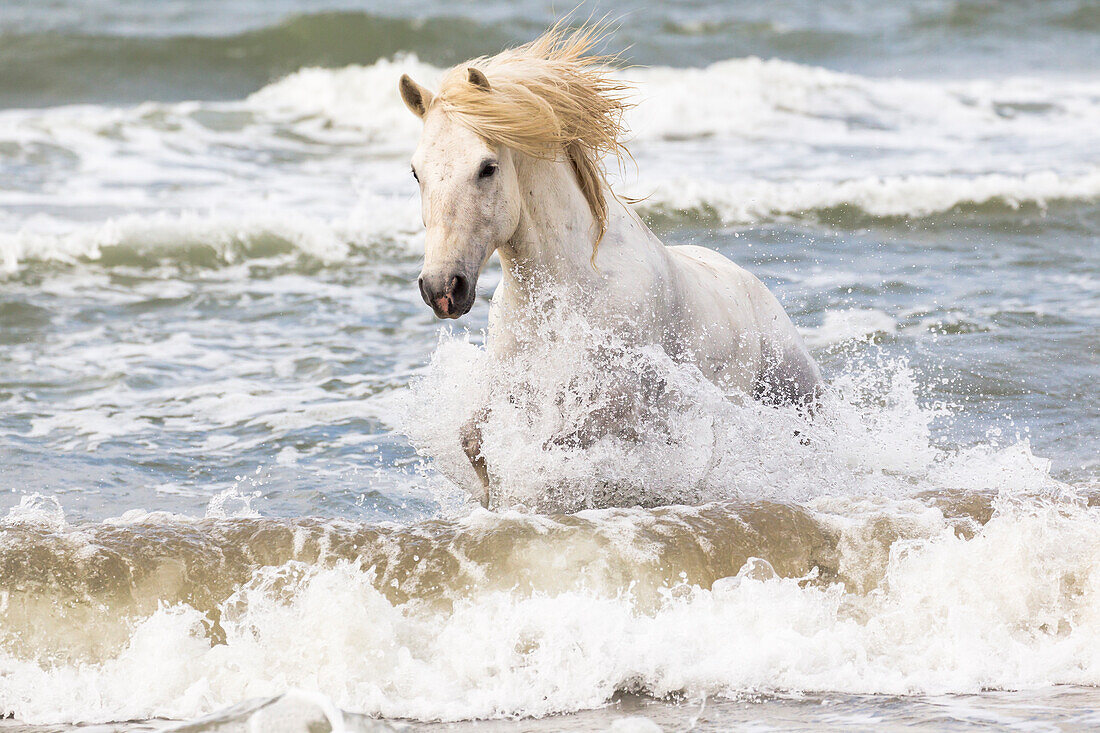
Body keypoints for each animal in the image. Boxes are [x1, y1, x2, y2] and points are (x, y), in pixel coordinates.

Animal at [400, 22, 822, 501]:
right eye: (416, 172)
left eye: (487, 167)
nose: (441, 288)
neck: (570, 288)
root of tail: (751, 283)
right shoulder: (514, 381)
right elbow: (473, 439)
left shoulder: (618, 404)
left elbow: (559, 446)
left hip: (796, 396)